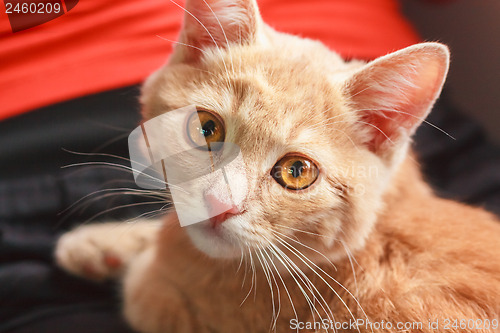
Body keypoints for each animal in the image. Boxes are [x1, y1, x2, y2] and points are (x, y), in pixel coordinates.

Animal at [54, 0, 500, 332]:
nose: (220, 204)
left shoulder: (169, 304)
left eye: (297, 172)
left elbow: (143, 282)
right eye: (207, 128)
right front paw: (103, 243)